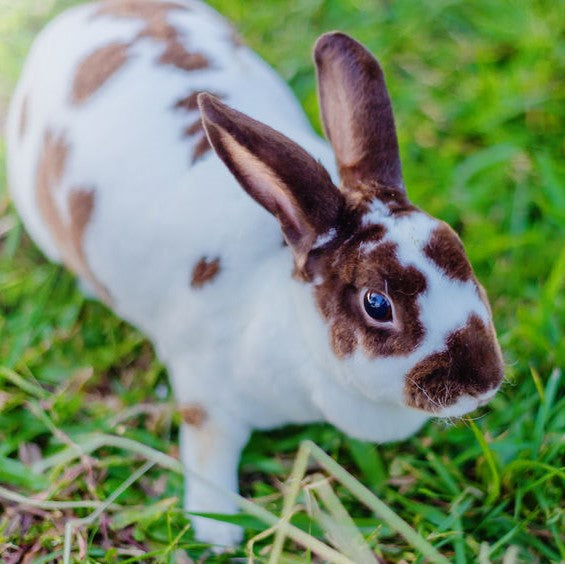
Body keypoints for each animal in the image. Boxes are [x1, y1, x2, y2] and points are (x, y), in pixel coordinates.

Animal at [6, 0, 504, 548]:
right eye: (377, 304)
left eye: (457, 248)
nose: (485, 380)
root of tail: (73, 19)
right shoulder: (207, 400)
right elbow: (206, 458)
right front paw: (216, 533)